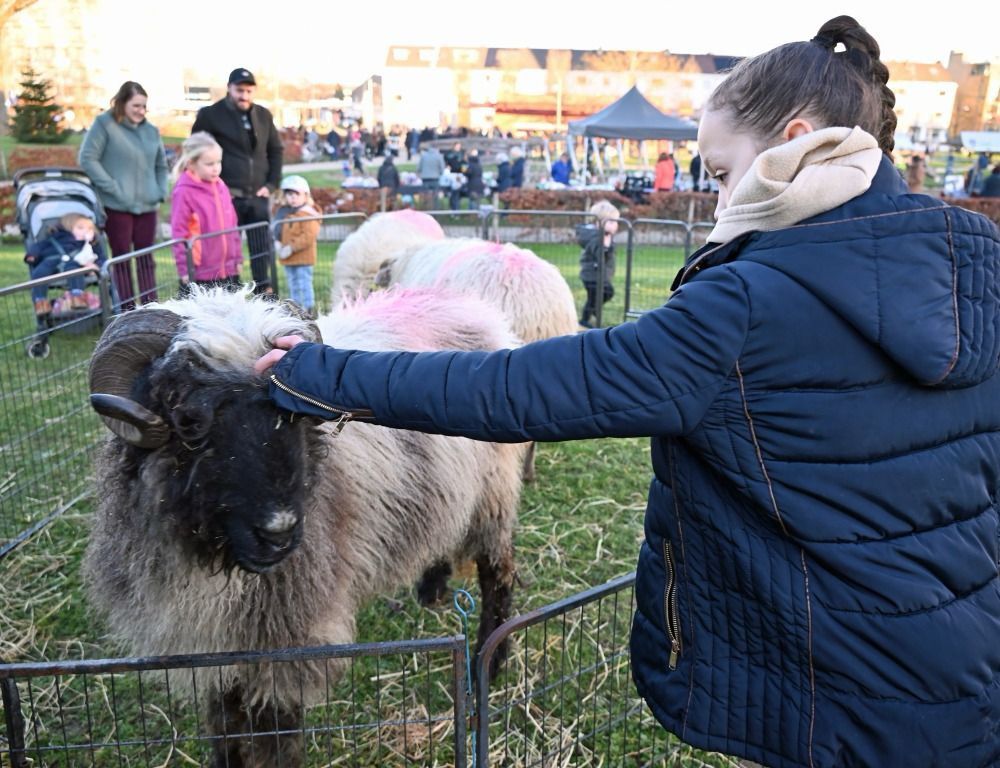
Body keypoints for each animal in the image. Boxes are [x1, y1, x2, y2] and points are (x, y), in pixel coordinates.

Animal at [87, 288, 528, 768]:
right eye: (188, 423)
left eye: (294, 415)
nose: (278, 534)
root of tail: (467, 302)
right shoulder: (212, 647)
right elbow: (223, 723)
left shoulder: (289, 641)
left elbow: (276, 734)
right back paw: (432, 587)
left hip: (493, 497)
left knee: (498, 573)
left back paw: (488, 663)